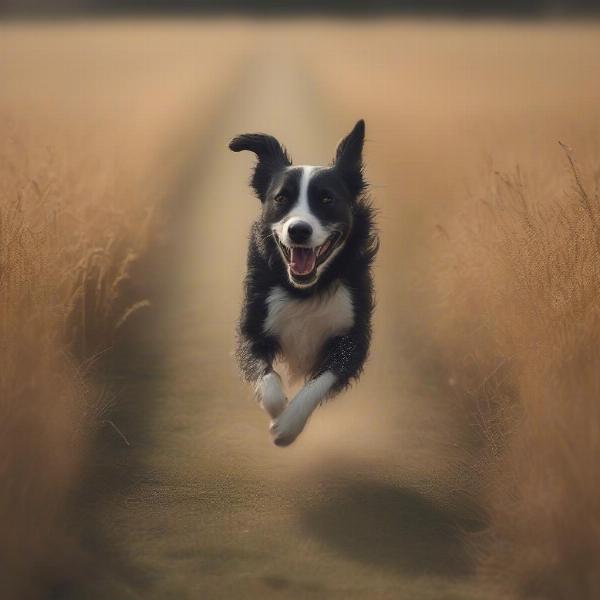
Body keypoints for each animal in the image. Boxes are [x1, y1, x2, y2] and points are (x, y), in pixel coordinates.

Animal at [227, 119, 378, 446]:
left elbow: (318, 382)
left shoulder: (353, 338)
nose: (298, 230)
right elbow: (268, 379)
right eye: (281, 198)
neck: (306, 290)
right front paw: (278, 410)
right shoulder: (252, 328)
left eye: (327, 199)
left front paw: (288, 425)